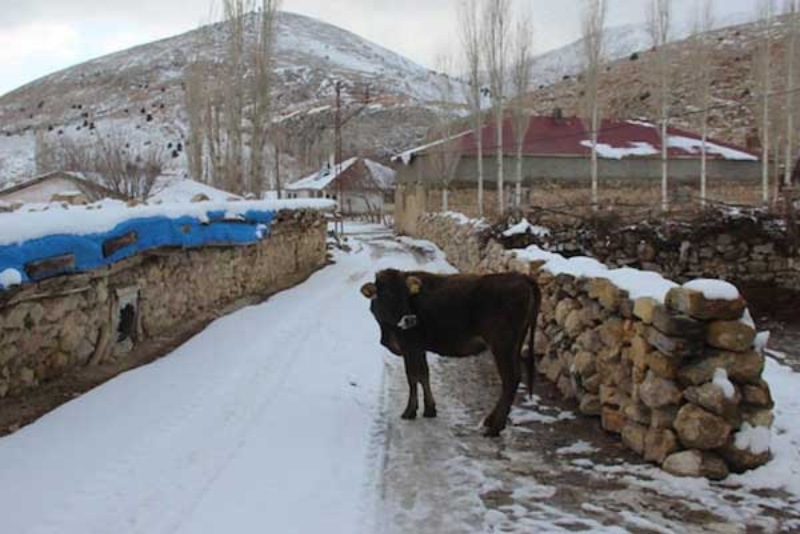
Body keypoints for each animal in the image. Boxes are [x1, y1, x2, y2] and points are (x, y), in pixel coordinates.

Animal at [362, 270, 544, 438]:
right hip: (514, 345)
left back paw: (494, 428)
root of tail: (520, 276)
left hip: (502, 345)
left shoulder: (410, 347)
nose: (410, 319)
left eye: (407, 294)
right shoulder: (419, 349)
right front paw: (430, 409)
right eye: (387, 293)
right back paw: (490, 421)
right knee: (513, 379)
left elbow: (413, 377)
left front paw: (409, 411)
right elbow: (424, 375)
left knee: (510, 379)